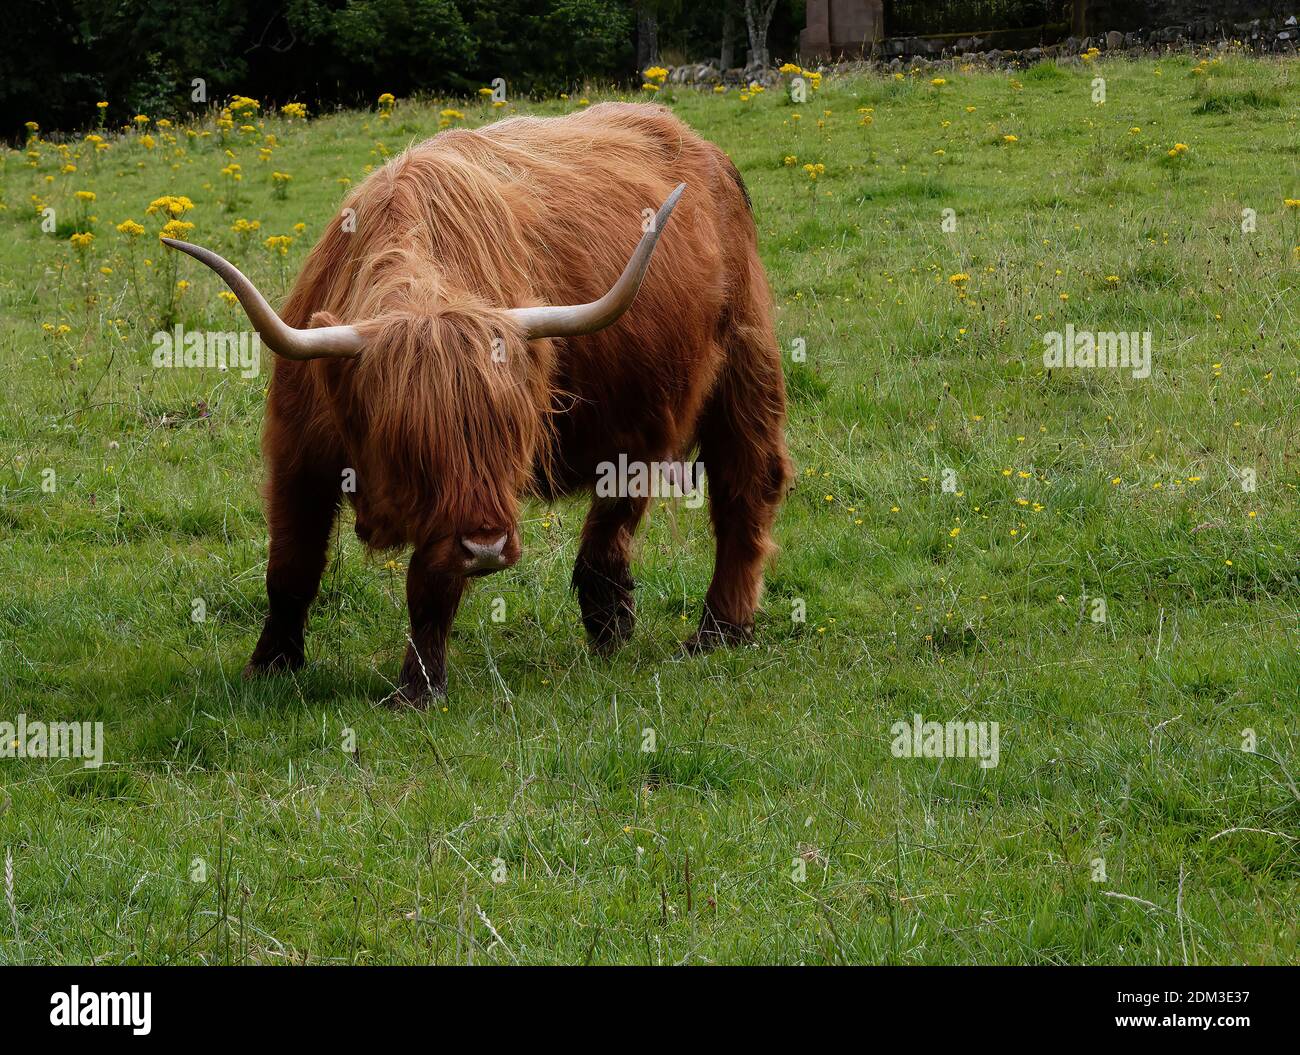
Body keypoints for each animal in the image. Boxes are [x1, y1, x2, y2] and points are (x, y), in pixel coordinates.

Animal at [165, 102, 791, 706]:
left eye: (513, 436)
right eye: (409, 440)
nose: (487, 546)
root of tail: (700, 145)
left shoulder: (460, 515)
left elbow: (431, 584)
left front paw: (418, 689)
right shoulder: (297, 454)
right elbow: (290, 567)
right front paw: (269, 665)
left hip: (744, 361)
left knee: (745, 482)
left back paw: (718, 629)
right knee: (623, 500)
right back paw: (610, 623)